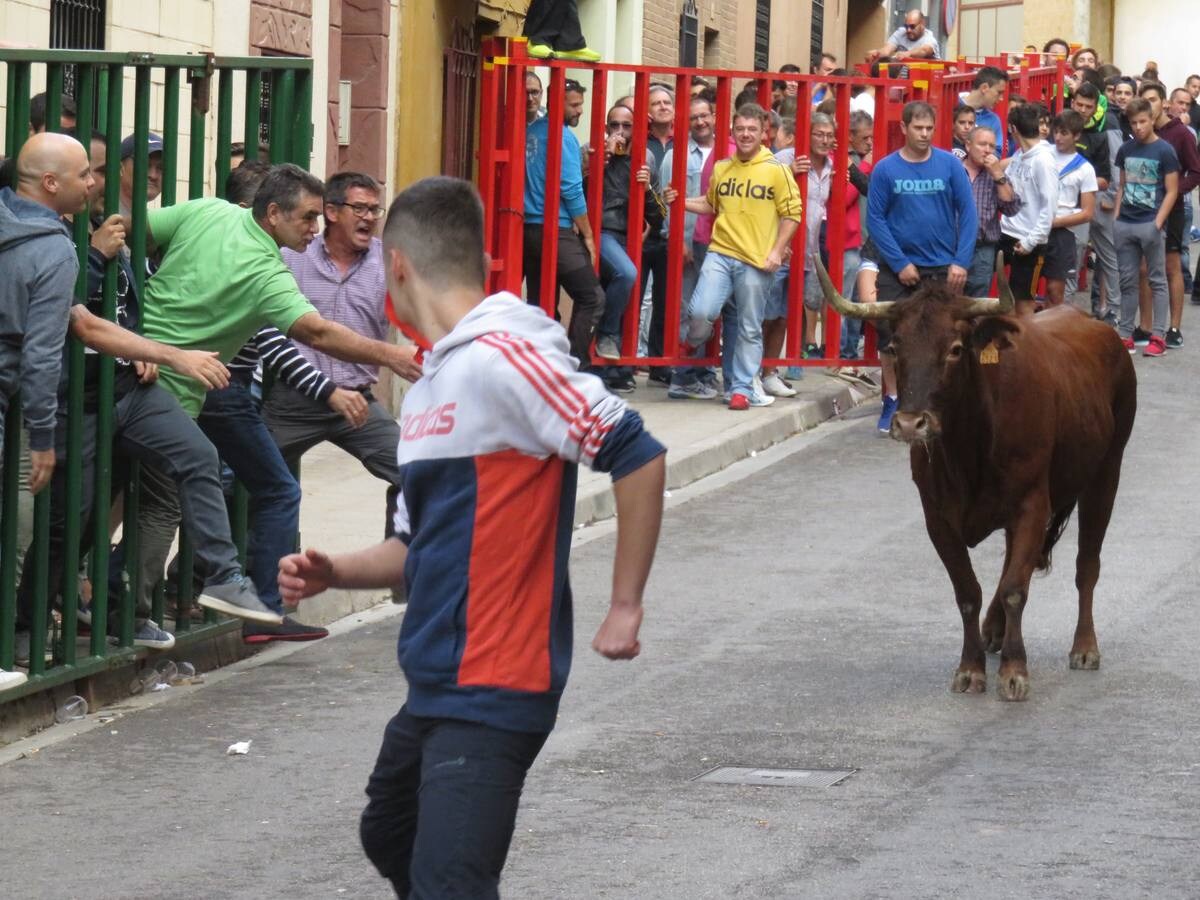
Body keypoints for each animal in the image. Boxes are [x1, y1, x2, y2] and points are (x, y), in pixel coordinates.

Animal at [816, 256, 1132, 700]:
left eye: (954, 349)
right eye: (895, 348)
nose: (910, 424)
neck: (970, 448)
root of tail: (1098, 326)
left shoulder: (1032, 505)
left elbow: (1017, 587)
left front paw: (1015, 671)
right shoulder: (938, 518)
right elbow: (969, 591)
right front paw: (970, 668)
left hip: (1106, 472)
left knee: (1087, 563)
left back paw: (1084, 647)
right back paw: (994, 631)